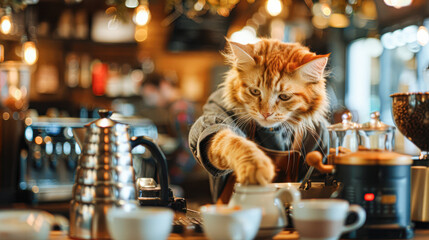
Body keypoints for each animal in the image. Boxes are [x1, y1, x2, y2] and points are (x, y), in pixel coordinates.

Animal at [187, 38, 328, 193]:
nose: (266, 113)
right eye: (255, 91)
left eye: (284, 97)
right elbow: (231, 141)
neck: (272, 132)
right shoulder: (215, 116)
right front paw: (255, 166)